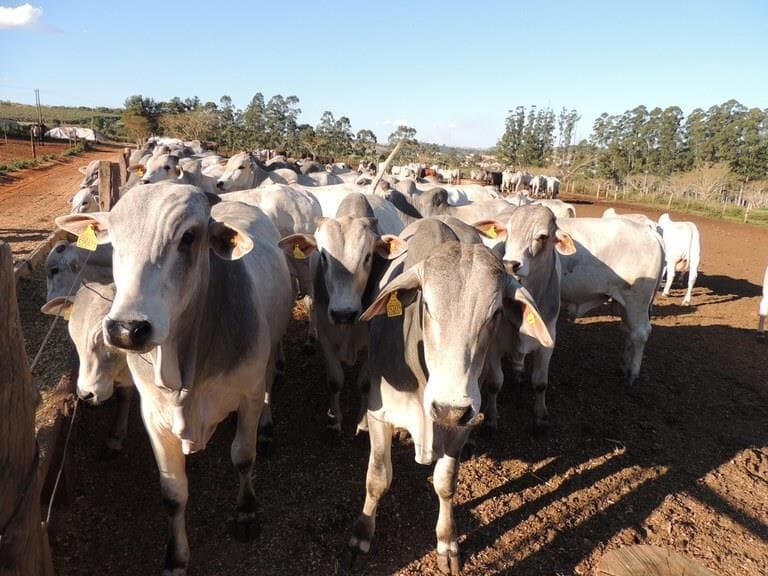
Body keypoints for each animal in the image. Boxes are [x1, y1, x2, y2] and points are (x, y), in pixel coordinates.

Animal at [54, 182, 294, 572]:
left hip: (272, 349)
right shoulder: (154, 417)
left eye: (189, 237)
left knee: (270, 383)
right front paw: (176, 556)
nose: (126, 329)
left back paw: (268, 426)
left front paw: (245, 512)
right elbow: (173, 493)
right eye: (113, 240)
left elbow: (243, 456)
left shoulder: (248, 395)